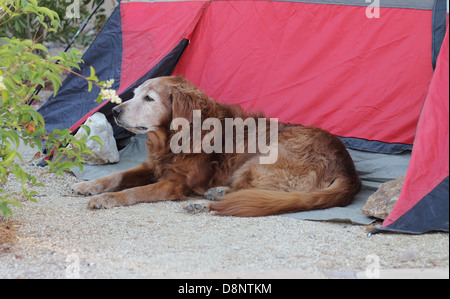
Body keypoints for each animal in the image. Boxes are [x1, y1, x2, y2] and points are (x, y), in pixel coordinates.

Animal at [74, 76, 362, 217]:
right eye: (134, 95)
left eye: (149, 98)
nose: (114, 111)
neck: (178, 136)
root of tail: (348, 170)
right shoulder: (153, 166)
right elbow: (117, 175)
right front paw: (90, 185)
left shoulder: (175, 183)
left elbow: (133, 192)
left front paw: (106, 199)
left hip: (261, 159)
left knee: (255, 194)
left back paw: (205, 203)